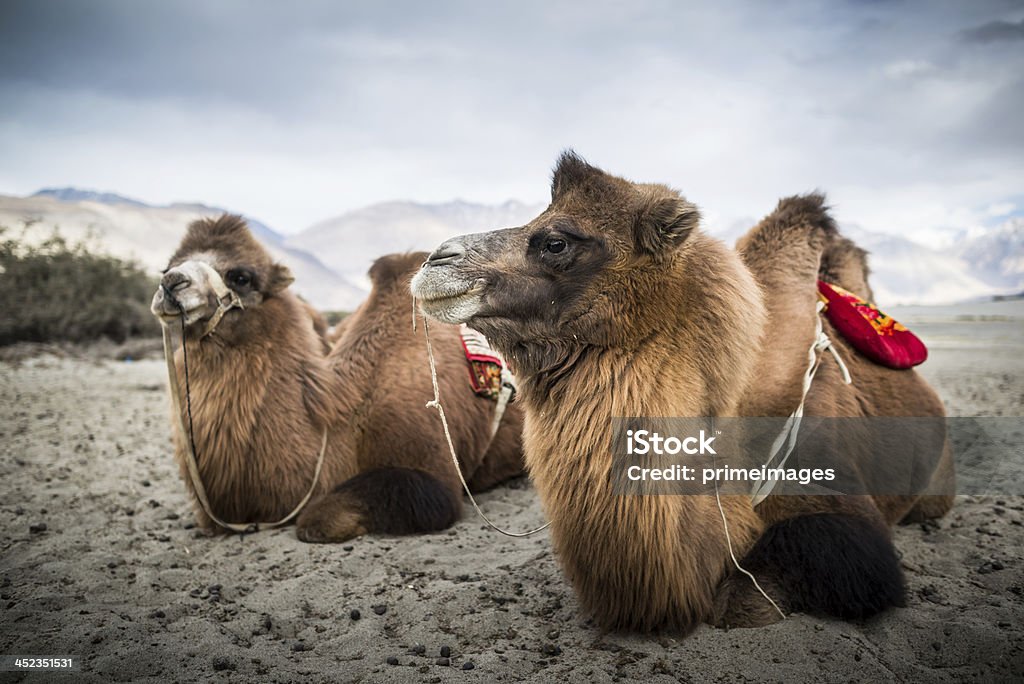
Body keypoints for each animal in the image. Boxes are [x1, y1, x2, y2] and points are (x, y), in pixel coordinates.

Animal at [149, 214, 528, 540]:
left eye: (241, 276)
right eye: (168, 265)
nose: (170, 284)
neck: (340, 420)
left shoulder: (432, 474)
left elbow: (316, 521)